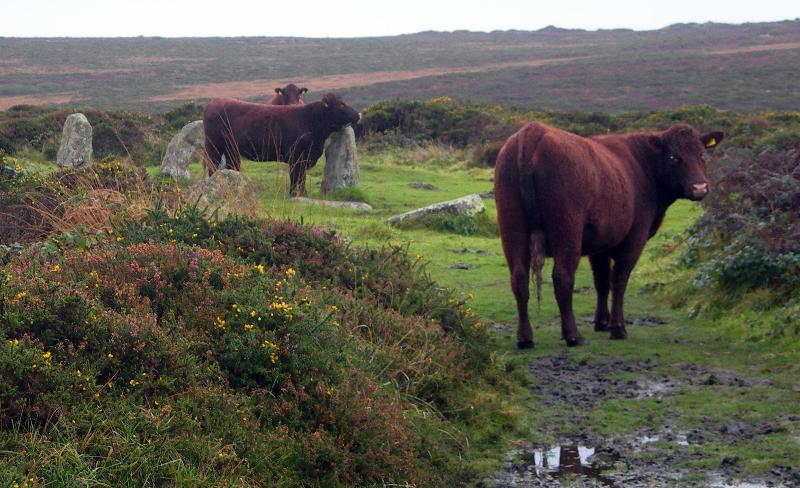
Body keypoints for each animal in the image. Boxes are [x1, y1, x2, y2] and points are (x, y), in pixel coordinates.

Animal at [203, 92, 360, 195]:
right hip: (214, 146)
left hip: (231, 149)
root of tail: (213, 102)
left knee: (231, 167)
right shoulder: (297, 159)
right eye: (341, 105)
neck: (310, 120)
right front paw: (296, 195)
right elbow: (297, 179)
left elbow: (300, 180)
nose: (357, 115)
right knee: (213, 166)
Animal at [496, 124, 720, 348]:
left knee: (519, 278)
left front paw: (602, 322)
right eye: (673, 157)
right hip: (567, 231)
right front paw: (618, 328)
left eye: (702, 154)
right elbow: (619, 280)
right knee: (562, 277)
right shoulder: (634, 239)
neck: (643, 166)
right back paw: (573, 335)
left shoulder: (600, 243)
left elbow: (602, 280)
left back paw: (525, 338)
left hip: (512, 228)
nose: (700, 187)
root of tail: (534, 129)